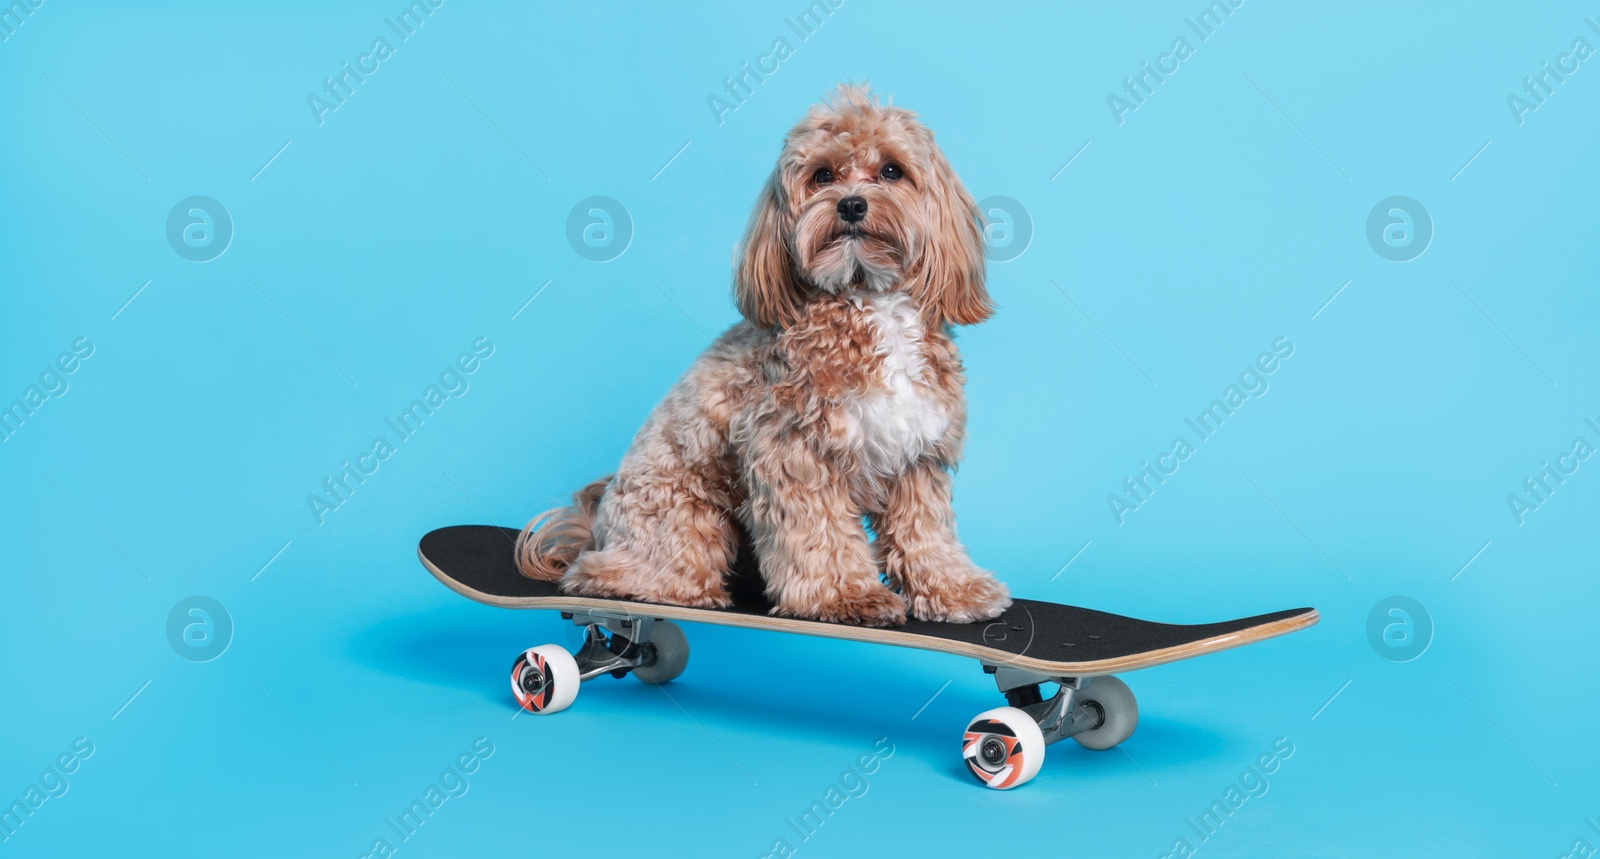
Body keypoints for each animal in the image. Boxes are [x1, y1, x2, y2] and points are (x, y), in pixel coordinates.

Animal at [518, 83, 1004, 627]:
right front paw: (845, 597)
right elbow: (821, 534)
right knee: (613, 573)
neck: (868, 299)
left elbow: (926, 531)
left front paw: (954, 589)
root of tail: (595, 530)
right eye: (822, 176)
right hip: (683, 517)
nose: (852, 205)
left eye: (892, 171)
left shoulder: (917, 454)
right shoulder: (793, 452)